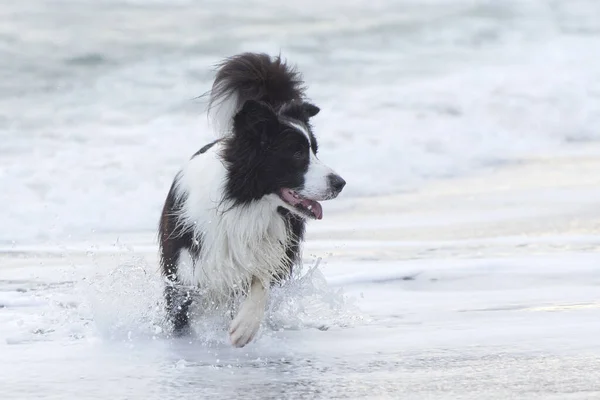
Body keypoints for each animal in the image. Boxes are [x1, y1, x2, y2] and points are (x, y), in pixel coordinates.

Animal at [158, 53, 346, 346]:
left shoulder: (268, 250)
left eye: (315, 151)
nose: (340, 183)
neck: (244, 203)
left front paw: (244, 327)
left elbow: (261, 282)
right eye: (296, 153)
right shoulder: (185, 272)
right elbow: (181, 314)